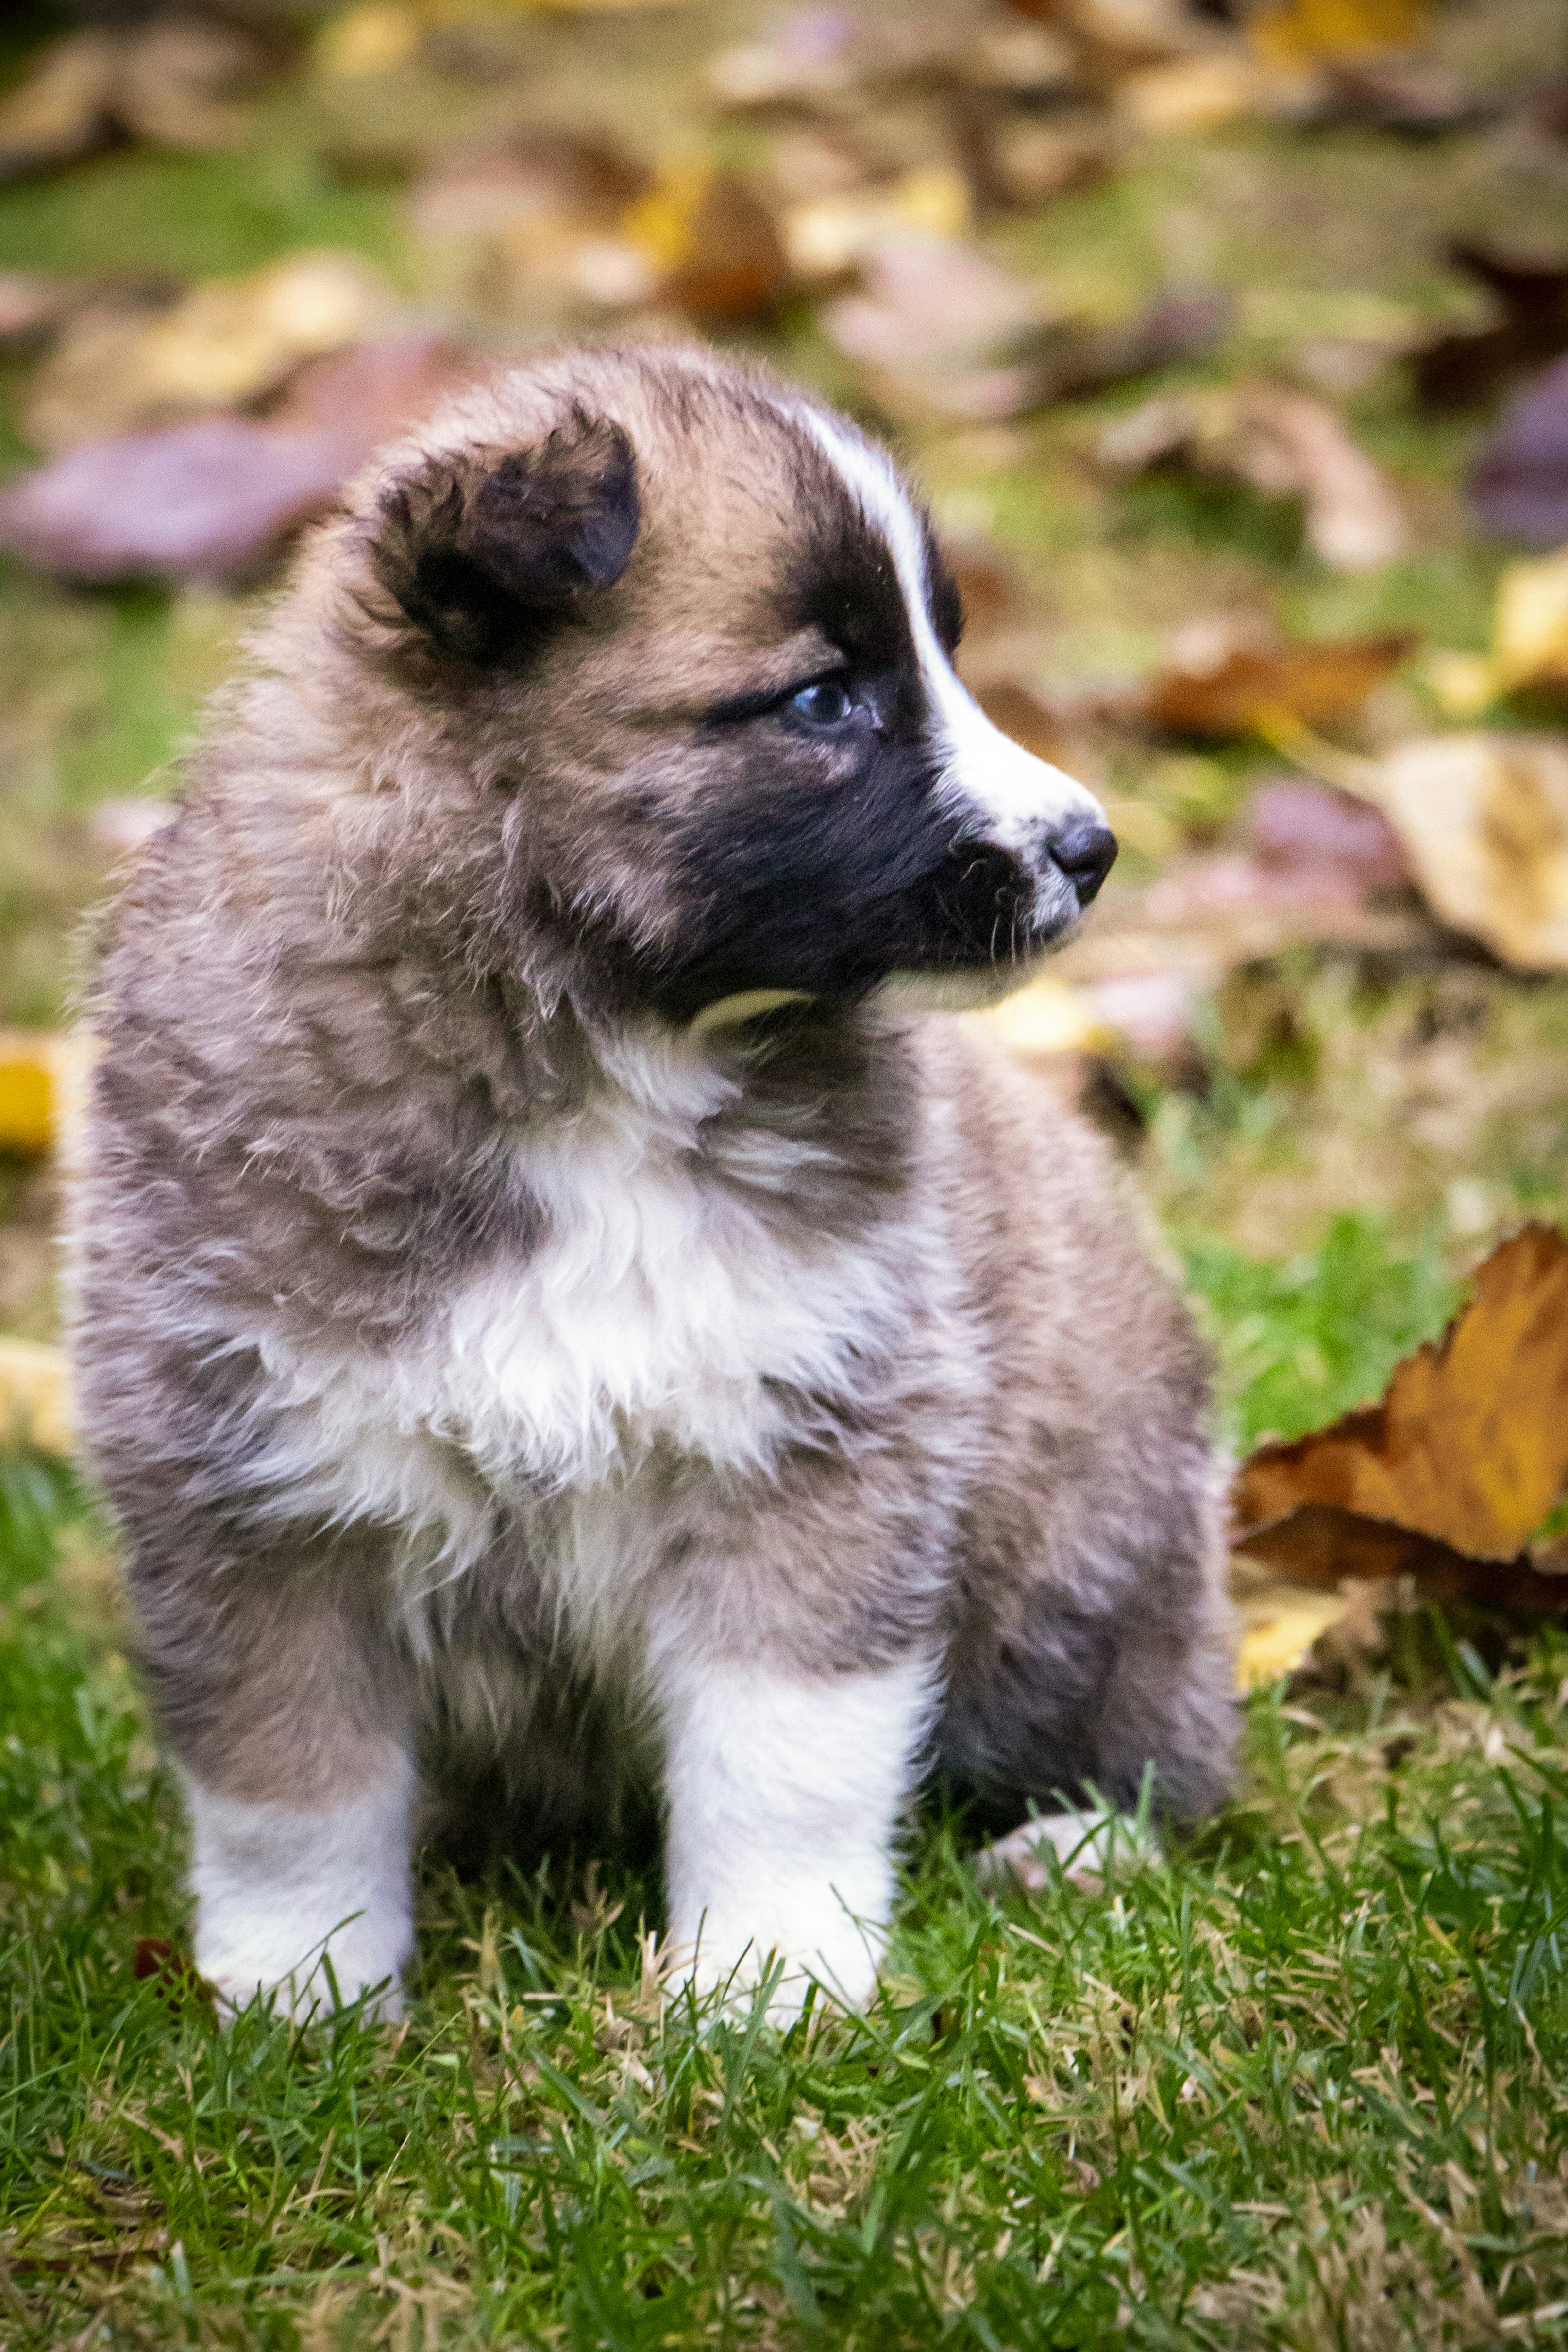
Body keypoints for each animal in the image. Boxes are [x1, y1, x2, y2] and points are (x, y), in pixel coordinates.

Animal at [70, 343, 1235, 2024]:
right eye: (822, 696)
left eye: (942, 652)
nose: (1088, 847)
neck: (587, 1057)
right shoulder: (251, 1494)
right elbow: (289, 1778)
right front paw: (301, 1994)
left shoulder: (812, 1441)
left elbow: (780, 1756)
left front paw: (765, 1979)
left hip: (1090, 1563)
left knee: (1163, 1747)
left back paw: (1076, 1845)